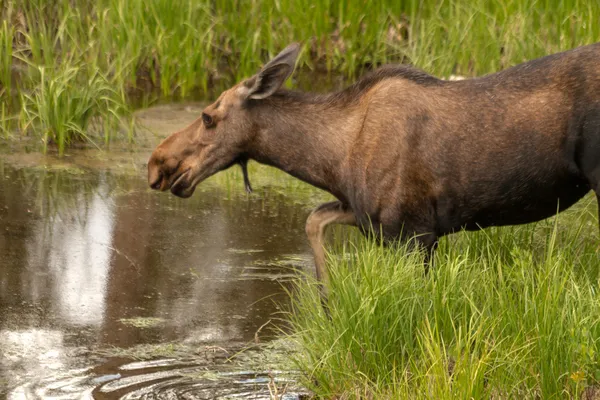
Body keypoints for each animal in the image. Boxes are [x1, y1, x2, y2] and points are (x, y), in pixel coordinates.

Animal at [146, 42, 600, 282]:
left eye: (208, 117)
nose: (156, 164)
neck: (334, 161)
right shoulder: (369, 216)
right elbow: (313, 220)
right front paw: (327, 301)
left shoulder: (416, 233)